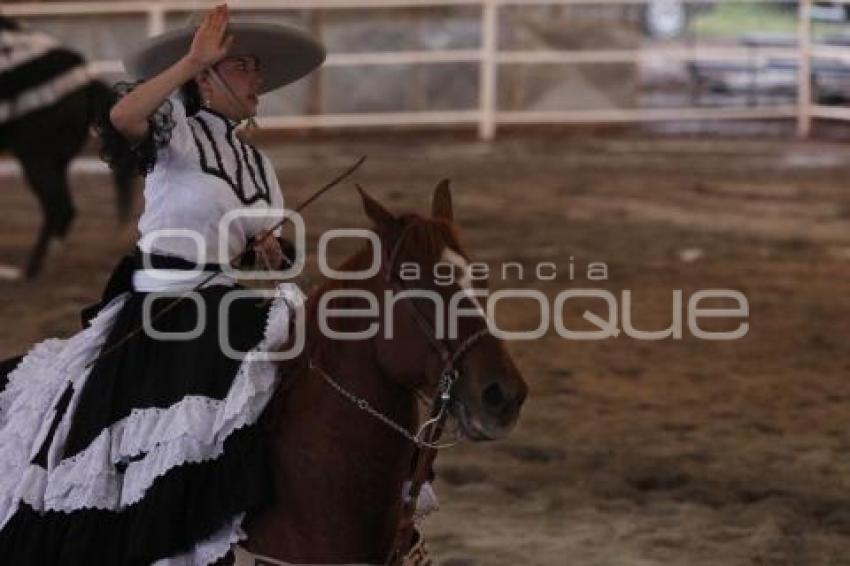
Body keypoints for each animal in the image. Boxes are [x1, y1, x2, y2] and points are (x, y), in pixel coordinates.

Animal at [0, 13, 134, 280]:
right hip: (54, 160)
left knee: (58, 208)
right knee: (63, 211)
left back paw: (30, 270)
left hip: (37, 156)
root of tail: (84, 78)